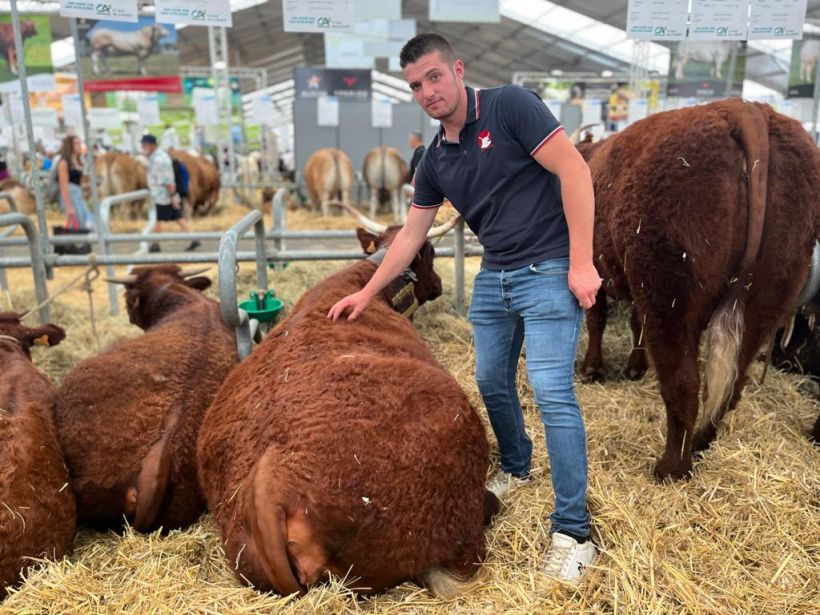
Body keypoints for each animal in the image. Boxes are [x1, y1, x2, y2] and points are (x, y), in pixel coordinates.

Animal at [576, 98, 820, 482]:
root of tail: (746, 109)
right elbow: (634, 323)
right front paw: (634, 367)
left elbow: (598, 321)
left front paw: (592, 369)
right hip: (768, 293)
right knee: (731, 384)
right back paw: (701, 443)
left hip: (669, 290)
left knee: (683, 385)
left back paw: (671, 467)